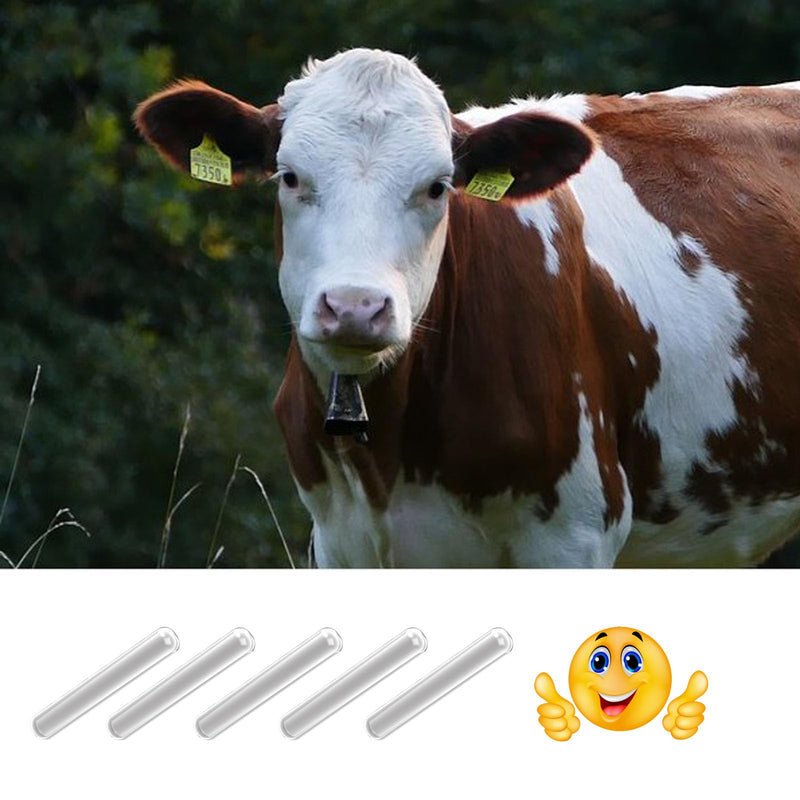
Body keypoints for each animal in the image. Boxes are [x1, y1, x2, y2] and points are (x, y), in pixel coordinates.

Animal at [135, 48, 800, 567]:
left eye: (438, 186)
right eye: (289, 176)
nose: (355, 306)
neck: (392, 460)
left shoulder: (575, 534)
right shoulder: (340, 540)